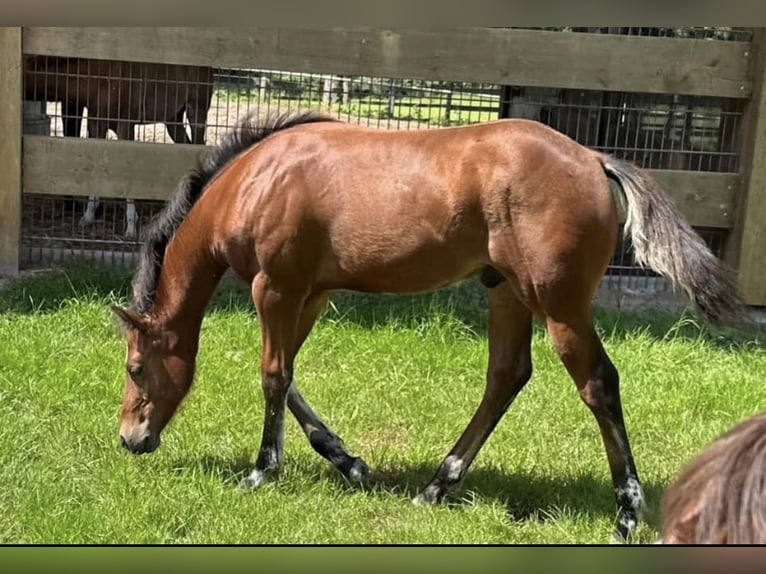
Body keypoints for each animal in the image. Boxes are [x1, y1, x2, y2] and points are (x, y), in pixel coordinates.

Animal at [24, 55, 214, 238]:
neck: (101, 77)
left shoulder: (125, 125)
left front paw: (131, 226)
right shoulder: (96, 124)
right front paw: (88, 215)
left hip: (196, 113)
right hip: (173, 120)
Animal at [111, 110, 740, 544]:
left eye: (136, 367)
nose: (131, 440)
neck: (256, 181)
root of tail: (592, 158)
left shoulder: (278, 289)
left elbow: (272, 376)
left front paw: (262, 471)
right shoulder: (311, 295)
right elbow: (289, 379)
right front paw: (349, 463)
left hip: (558, 304)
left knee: (598, 383)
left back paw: (627, 511)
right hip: (506, 291)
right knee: (506, 375)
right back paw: (438, 485)